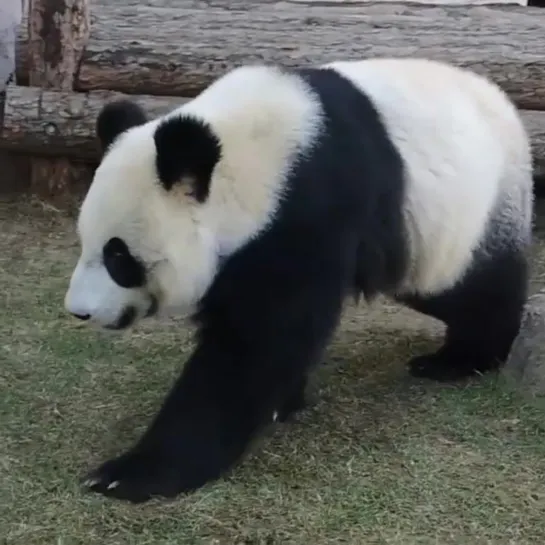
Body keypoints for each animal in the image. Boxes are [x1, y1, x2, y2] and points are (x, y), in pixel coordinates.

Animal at [62, 58, 532, 502]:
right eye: (86, 240)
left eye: (118, 256)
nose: (79, 311)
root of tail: (507, 106)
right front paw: (283, 402)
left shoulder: (307, 209)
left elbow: (256, 344)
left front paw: (131, 473)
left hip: (466, 211)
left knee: (466, 288)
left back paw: (462, 358)